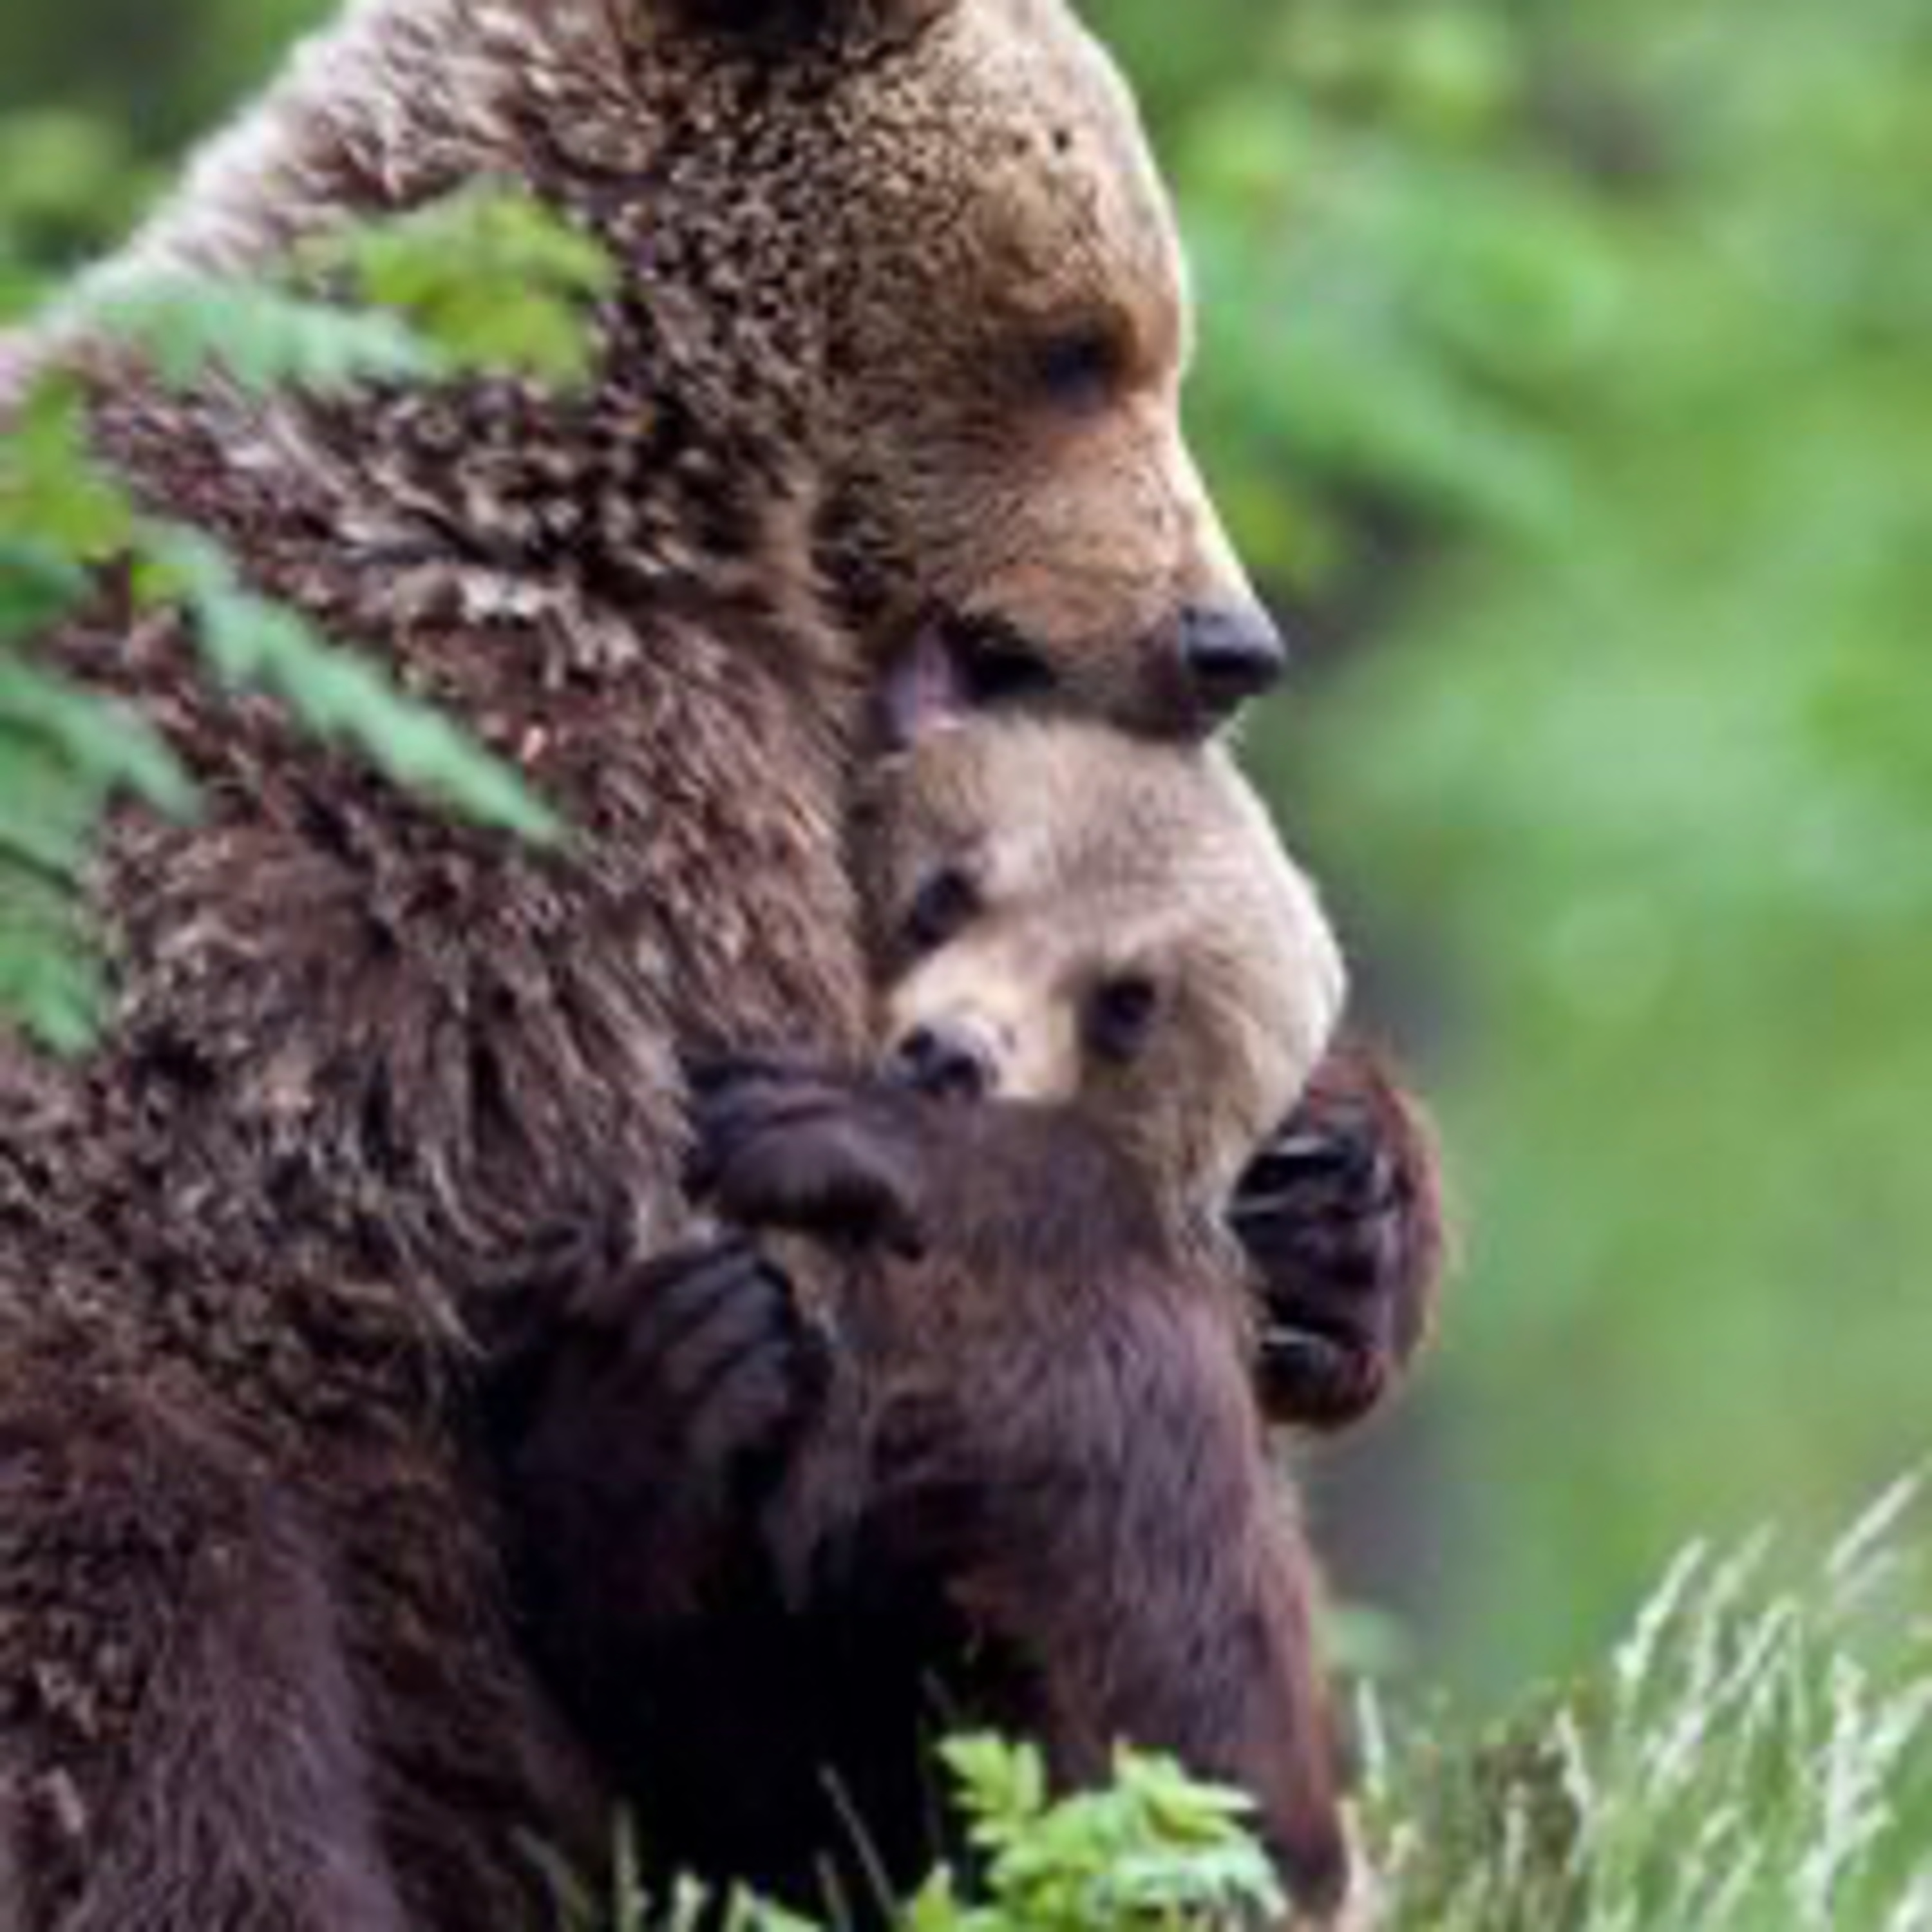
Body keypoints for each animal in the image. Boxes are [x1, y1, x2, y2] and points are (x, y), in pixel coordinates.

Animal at [500, 703, 1365, 1919]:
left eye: (1129, 1000)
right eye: (949, 889)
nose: (949, 1050)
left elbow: (1207, 1771)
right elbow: (752, 1766)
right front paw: (651, 1393)